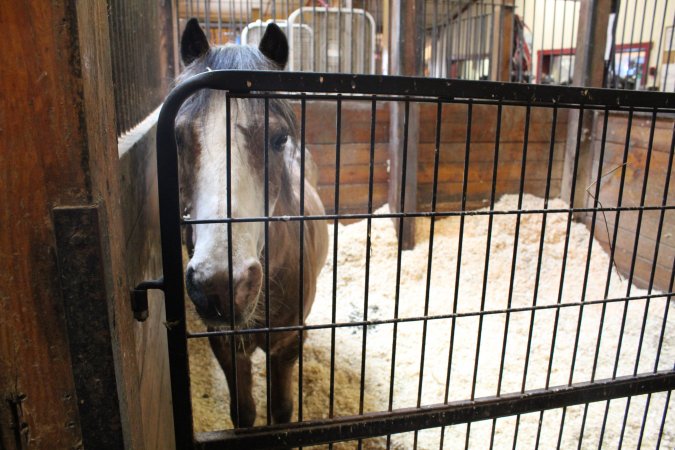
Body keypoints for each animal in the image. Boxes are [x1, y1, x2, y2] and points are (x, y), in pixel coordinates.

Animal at [176, 17, 328, 428]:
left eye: (279, 138)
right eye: (178, 137)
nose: (220, 286)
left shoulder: (286, 345)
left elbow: (281, 412)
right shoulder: (226, 344)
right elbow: (243, 414)